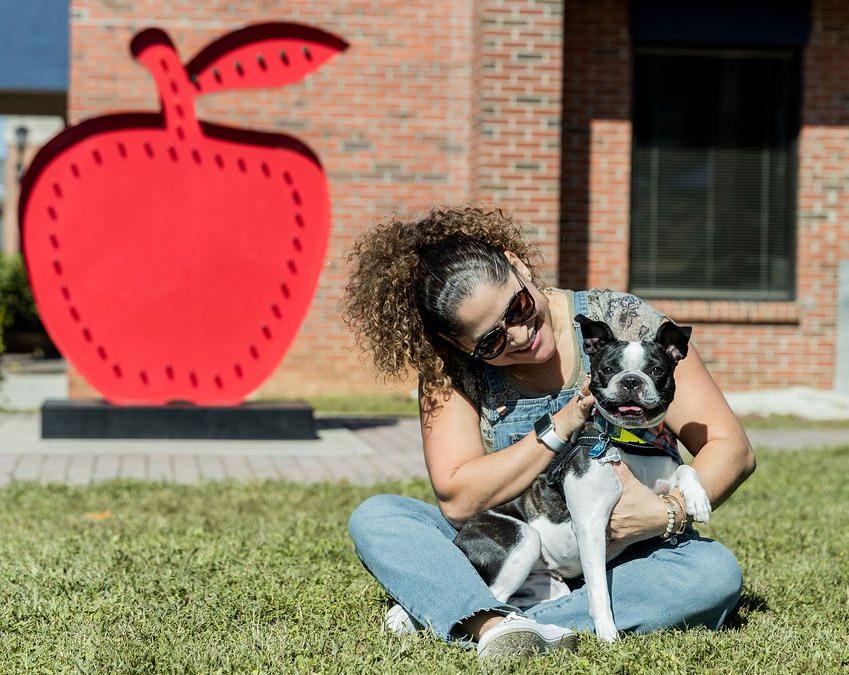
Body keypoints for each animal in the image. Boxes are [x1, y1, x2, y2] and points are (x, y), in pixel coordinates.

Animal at [454, 314, 712, 640]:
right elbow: (599, 590)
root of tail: (460, 536)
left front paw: (698, 500)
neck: (630, 441)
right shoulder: (591, 526)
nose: (631, 380)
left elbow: (686, 468)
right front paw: (608, 636)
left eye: (656, 370)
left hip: (549, 585)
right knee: (491, 599)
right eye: (607, 369)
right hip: (522, 539)